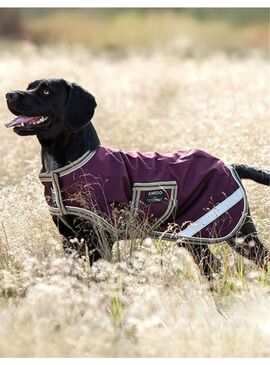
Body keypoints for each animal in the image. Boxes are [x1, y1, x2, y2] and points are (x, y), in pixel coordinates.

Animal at [4, 78, 270, 278]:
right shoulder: (70, 239)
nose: (9, 95)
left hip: (239, 236)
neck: (66, 163)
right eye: (29, 85)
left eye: (46, 90)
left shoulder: (99, 238)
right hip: (193, 236)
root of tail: (230, 166)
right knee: (212, 267)